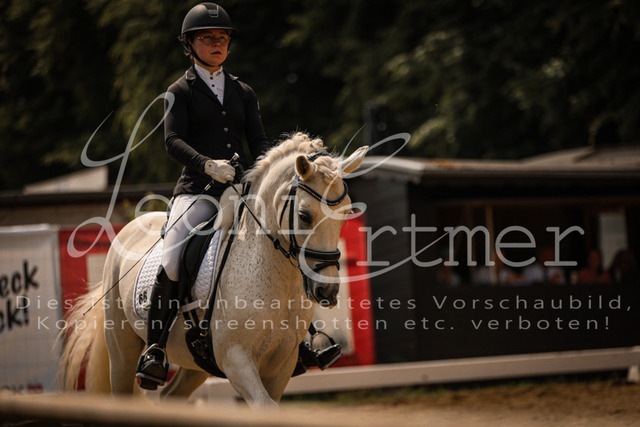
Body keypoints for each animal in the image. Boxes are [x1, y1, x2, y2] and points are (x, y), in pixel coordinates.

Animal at [58, 133, 368, 407]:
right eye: (304, 215)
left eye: (345, 213)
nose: (326, 290)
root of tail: (131, 227)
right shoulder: (236, 359)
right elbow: (265, 406)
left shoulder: (282, 365)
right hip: (122, 351)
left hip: (195, 362)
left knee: (171, 397)